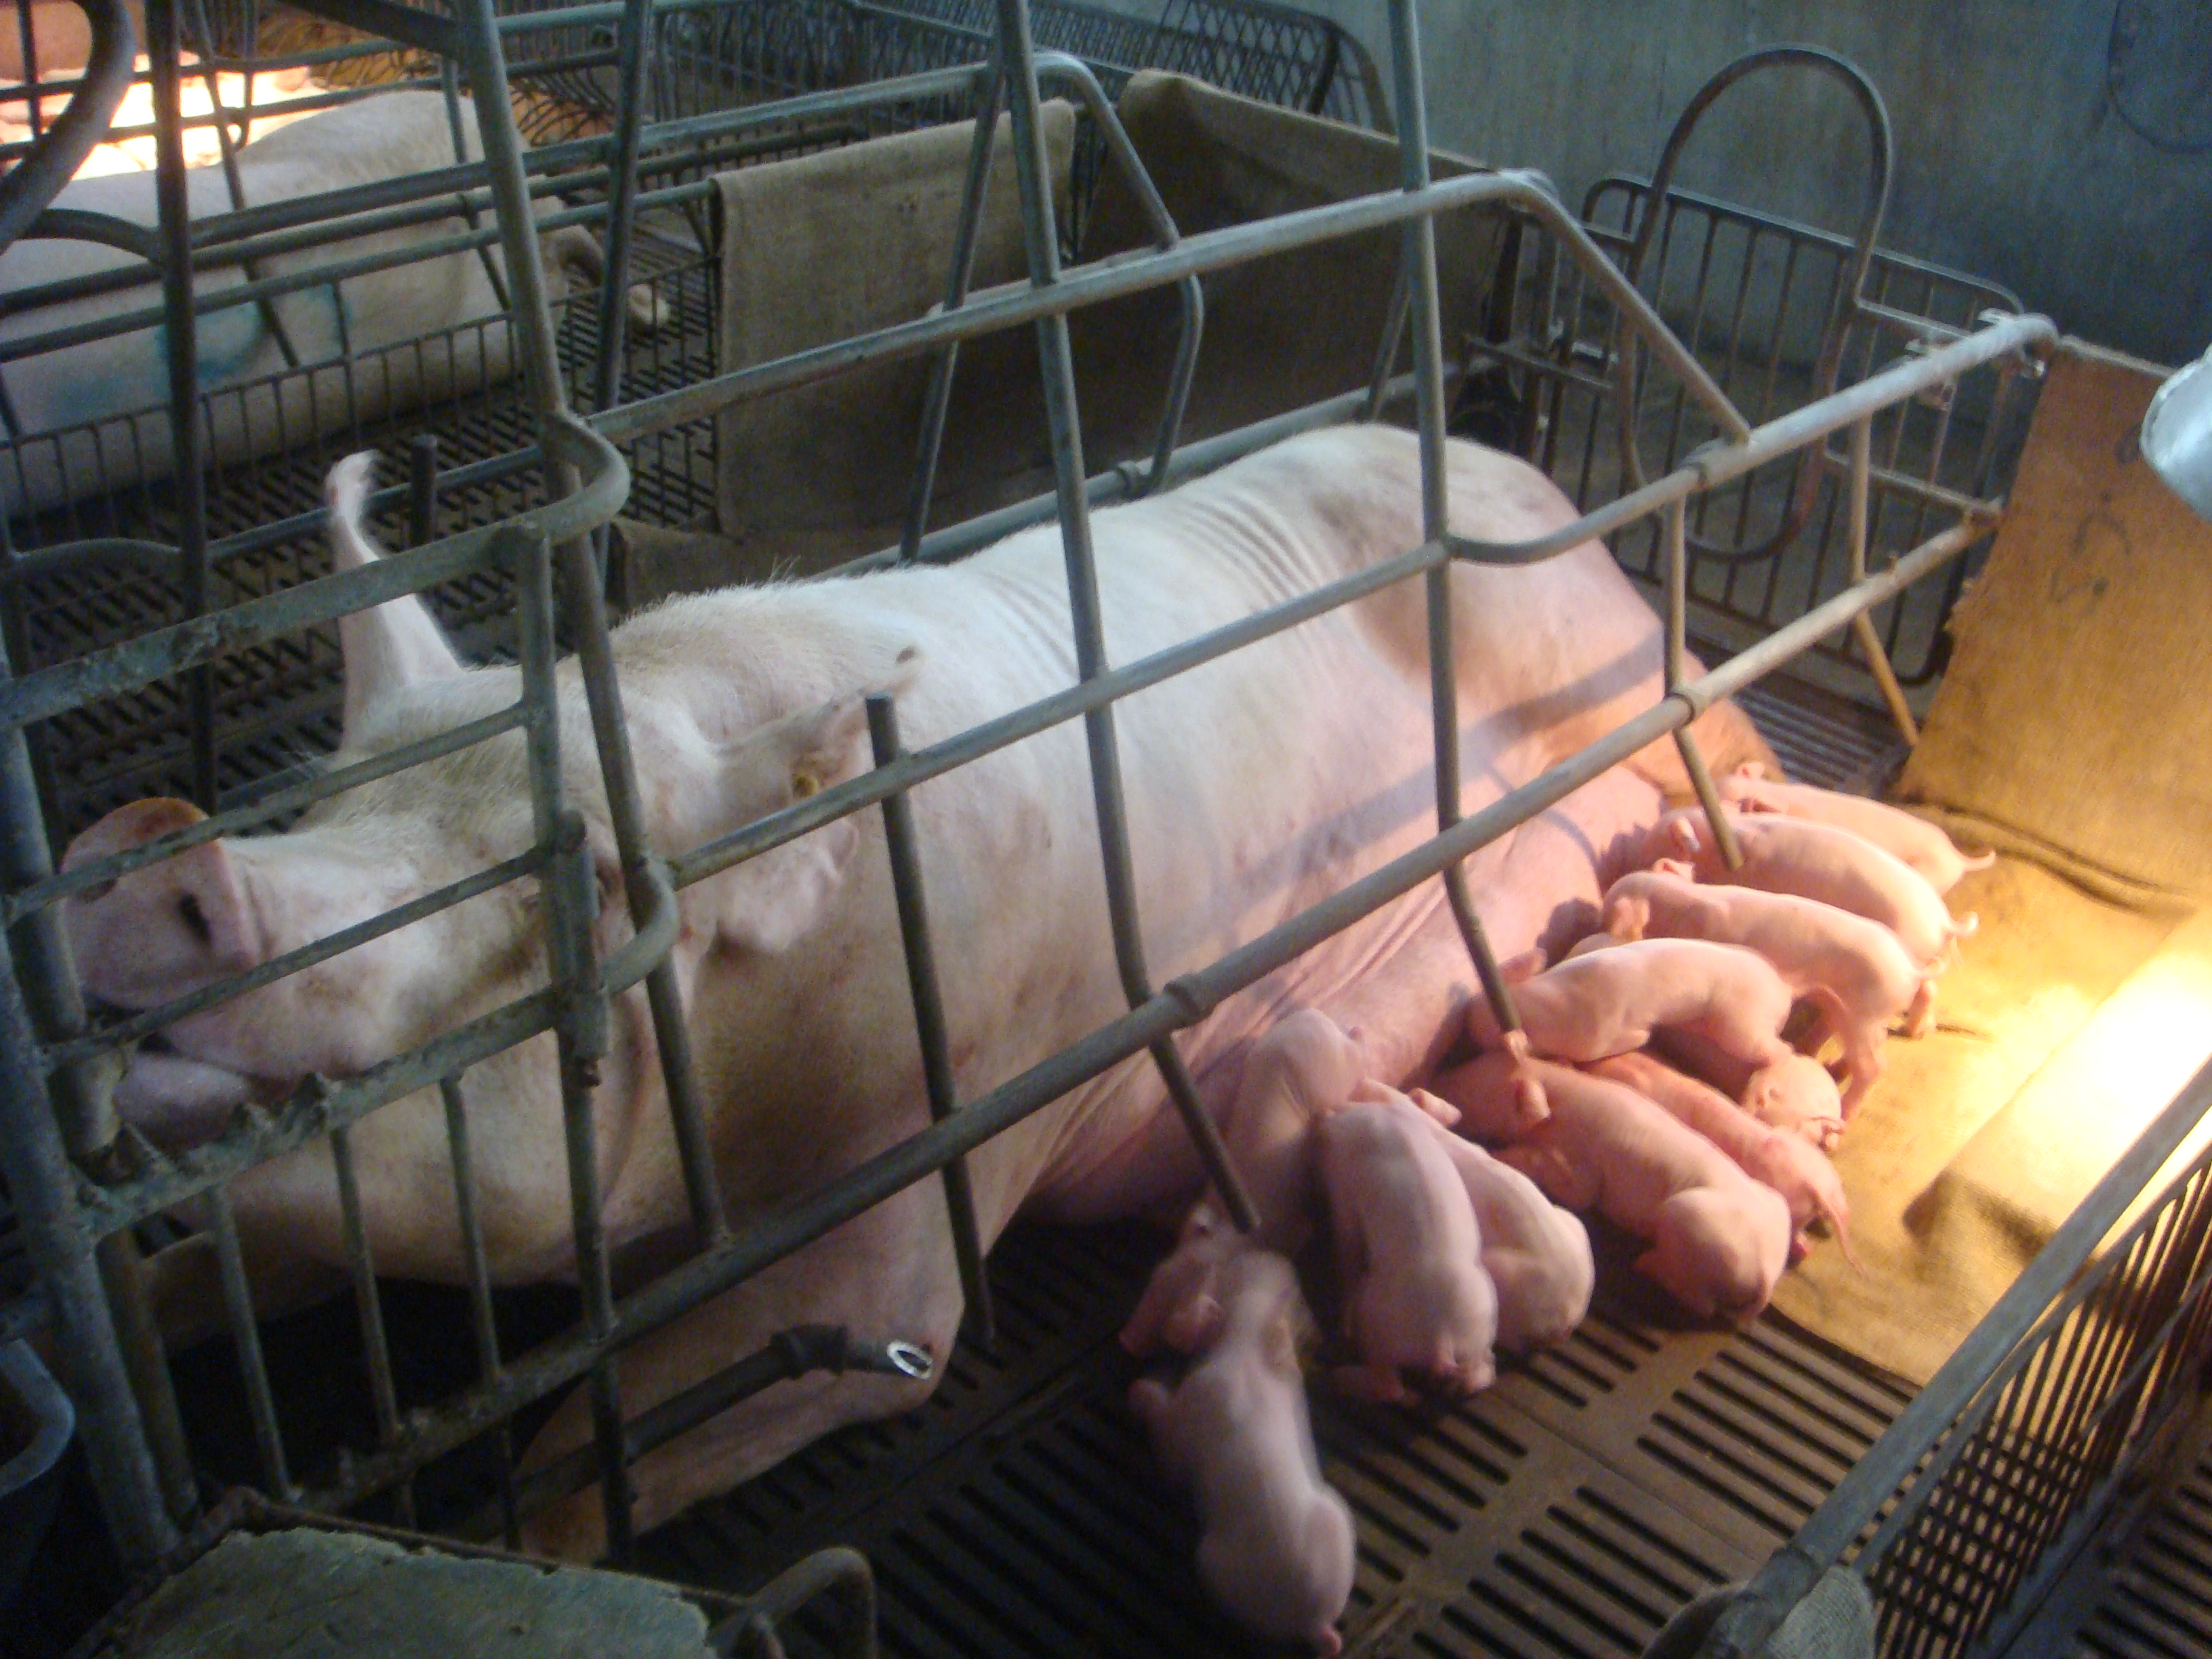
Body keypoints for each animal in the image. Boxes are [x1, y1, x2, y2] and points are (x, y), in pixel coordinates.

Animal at [1132, 1256, 1353, 1654]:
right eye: (1297, 1292)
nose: (1269, 1254)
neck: (1247, 1345)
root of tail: (1314, 1623)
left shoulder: (1188, 1416)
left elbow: (1169, 1462)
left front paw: (1142, 1388)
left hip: (1211, 1565)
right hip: (1336, 1515)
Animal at [1318, 1092, 1495, 1406]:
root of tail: (1441, 1336)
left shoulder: (1343, 1193)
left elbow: (1347, 1248)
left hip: (1376, 1318)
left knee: (1388, 1385)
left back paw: (1336, 1379)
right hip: (1482, 1319)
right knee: (1477, 1373)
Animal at [1433, 1057, 1796, 1318]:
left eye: (1475, 1089)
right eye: (1472, 1062)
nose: (1437, 1078)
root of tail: (1767, 1272)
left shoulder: (1579, 1166)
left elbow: (1576, 1191)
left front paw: (1499, 1155)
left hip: (1694, 1223)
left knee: (1700, 1303)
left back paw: (1645, 1264)